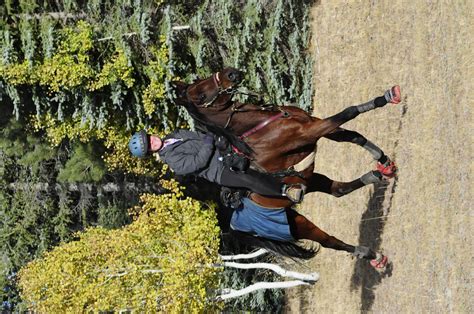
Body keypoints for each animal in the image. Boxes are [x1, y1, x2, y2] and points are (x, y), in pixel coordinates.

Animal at [170, 67, 400, 268]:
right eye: (199, 96)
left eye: (199, 80)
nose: (231, 73)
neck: (260, 125)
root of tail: (234, 225)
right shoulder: (310, 131)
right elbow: (348, 112)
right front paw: (388, 96)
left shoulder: (314, 124)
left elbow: (353, 136)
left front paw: (384, 161)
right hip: (297, 224)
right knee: (330, 241)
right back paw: (372, 255)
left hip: (305, 189)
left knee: (338, 190)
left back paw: (377, 175)